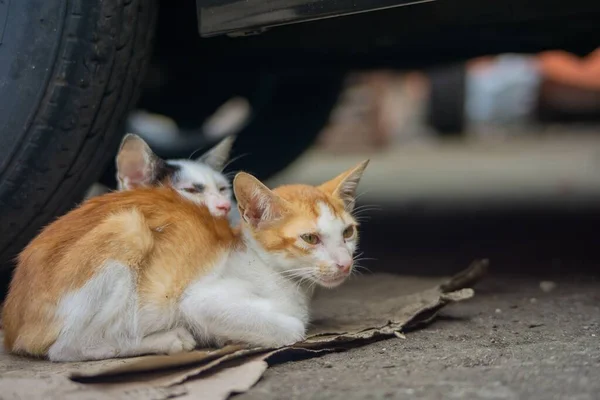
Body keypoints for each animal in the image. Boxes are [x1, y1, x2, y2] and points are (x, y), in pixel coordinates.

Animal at [2, 161, 368, 360]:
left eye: (348, 232)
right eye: (310, 238)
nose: (344, 264)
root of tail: (11, 319)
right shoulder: (200, 299)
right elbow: (291, 328)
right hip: (128, 227)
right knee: (69, 347)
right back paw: (168, 340)